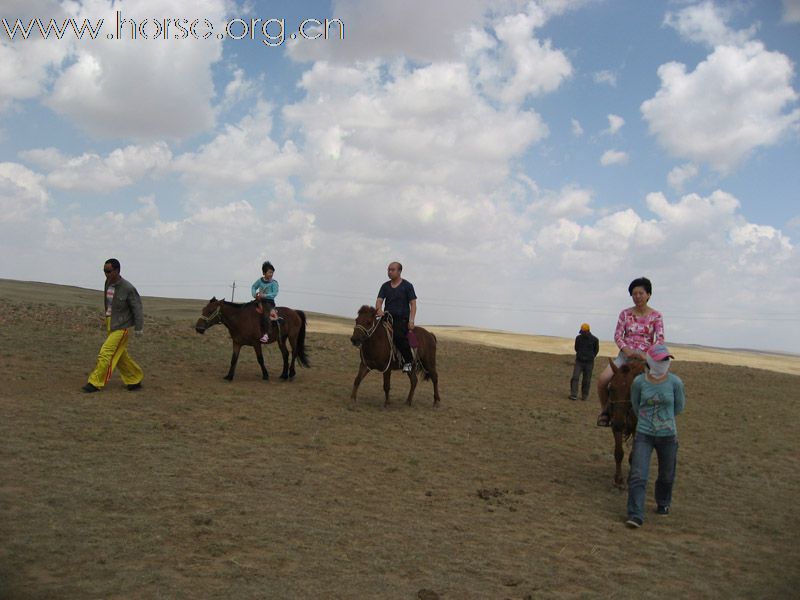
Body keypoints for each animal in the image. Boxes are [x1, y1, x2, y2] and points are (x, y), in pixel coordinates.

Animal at [608, 356, 648, 488]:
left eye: (631, 390)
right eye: (611, 388)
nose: (619, 423)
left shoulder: (637, 429)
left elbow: (634, 456)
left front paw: (631, 478)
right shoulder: (615, 426)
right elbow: (619, 453)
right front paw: (618, 479)